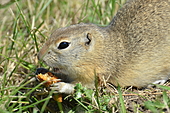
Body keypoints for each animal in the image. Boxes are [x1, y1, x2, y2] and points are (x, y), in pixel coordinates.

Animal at [37, 0, 170, 93]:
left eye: (63, 44)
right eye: (55, 31)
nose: (39, 56)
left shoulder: (97, 75)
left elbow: (84, 86)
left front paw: (61, 86)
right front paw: (41, 72)